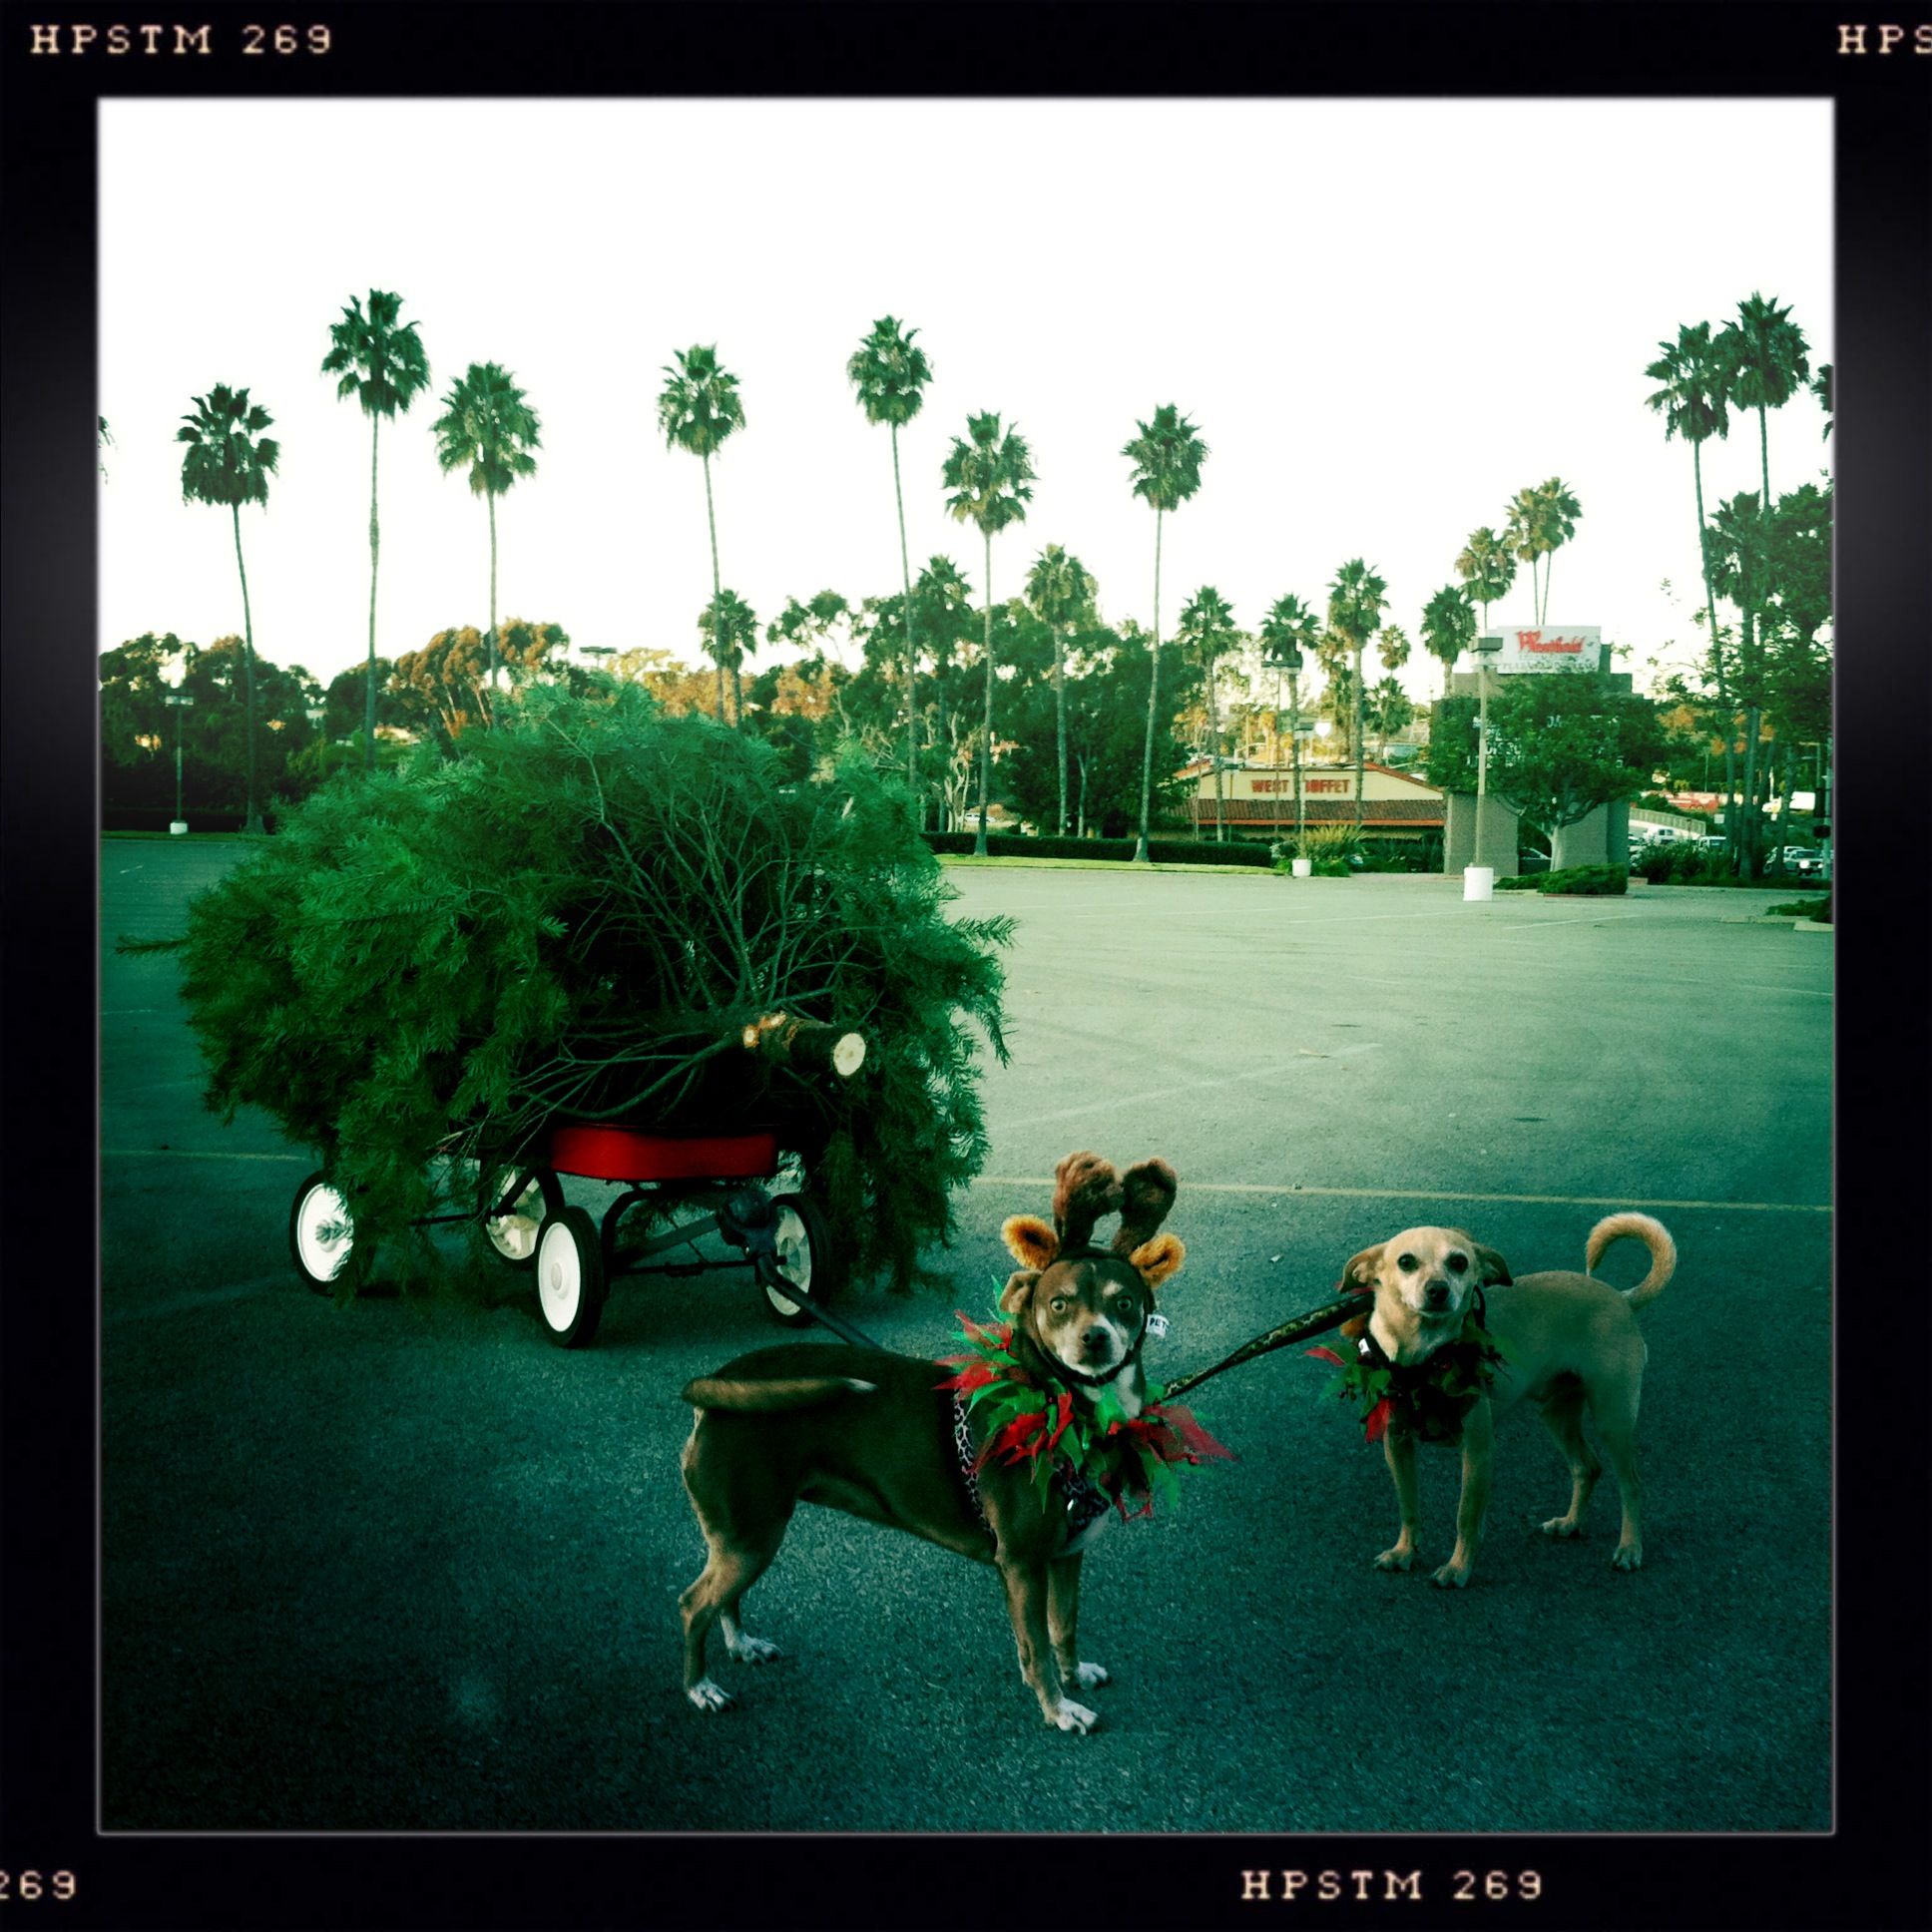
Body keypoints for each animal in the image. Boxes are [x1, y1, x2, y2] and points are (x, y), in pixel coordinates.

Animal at [675, 1152, 1185, 1732]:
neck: (1061, 1406)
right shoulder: (1023, 1564)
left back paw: (742, 1645)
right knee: (693, 1605)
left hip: (745, 1539)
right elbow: (1035, 1647)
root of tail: (718, 1382)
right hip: (751, 1537)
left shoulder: (1065, 1557)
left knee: (723, 1601)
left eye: (1125, 1303)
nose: (1094, 1339)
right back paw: (700, 1688)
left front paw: (1074, 1675)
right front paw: (1058, 1709)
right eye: (1058, 1305)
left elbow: (1063, 1627)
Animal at [1337, 1212, 1676, 1588]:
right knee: (1586, 1466)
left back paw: (1629, 1548)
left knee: (1632, 1484)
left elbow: (1466, 1516)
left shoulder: (1479, 1450)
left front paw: (1457, 1569)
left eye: (1459, 1262)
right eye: (1406, 1262)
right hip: (1556, 1415)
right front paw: (1404, 1553)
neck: (1424, 1360)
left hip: (1611, 1418)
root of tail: (1621, 1297)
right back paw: (1570, 1524)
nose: (1438, 1290)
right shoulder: (1397, 1445)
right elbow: (1409, 1506)